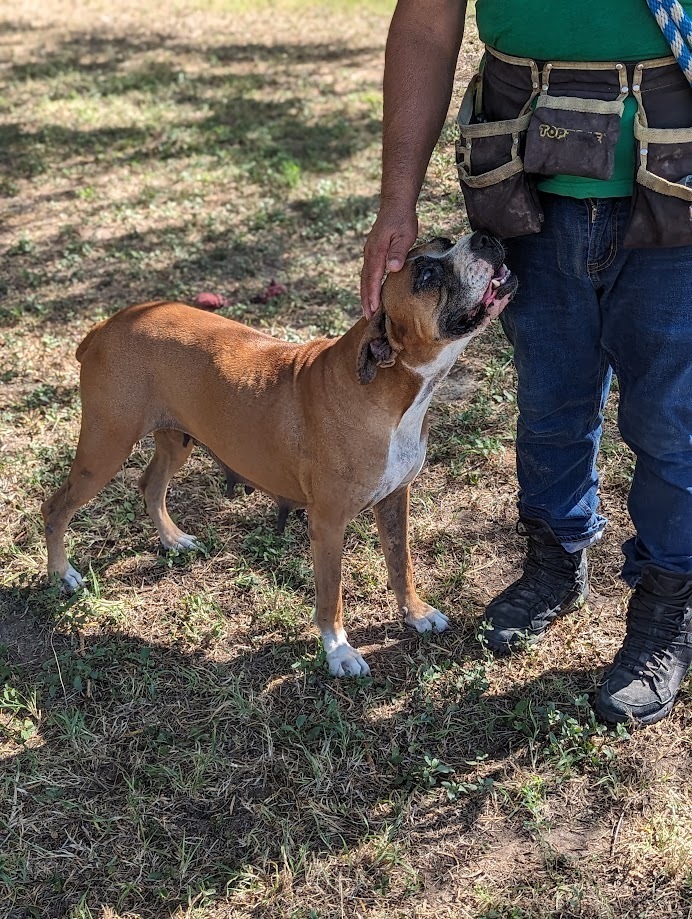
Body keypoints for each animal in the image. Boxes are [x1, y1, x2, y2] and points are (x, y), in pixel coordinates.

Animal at [42, 230, 512, 676]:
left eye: (446, 242)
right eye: (426, 276)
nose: (485, 238)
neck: (389, 389)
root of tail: (106, 325)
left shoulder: (396, 500)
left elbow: (401, 563)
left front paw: (414, 614)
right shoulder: (328, 524)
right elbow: (331, 596)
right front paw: (339, 652)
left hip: (174, 440)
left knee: (150, 484)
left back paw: (172, 539)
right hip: (104, 449)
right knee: (55, 507)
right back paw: (62, 574)